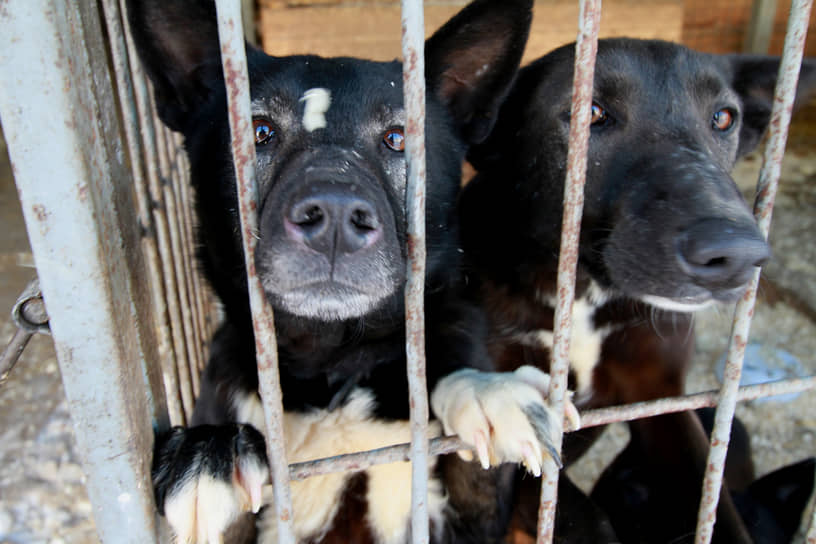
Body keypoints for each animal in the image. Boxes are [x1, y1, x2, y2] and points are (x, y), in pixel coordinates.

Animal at [127, 1, 572, 544]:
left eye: (398, 138)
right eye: (258, 132)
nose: (335, 217)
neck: (333, 361)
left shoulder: (470, 522)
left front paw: (488, 392)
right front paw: (208, 450)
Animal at [460, 37, 816, 540]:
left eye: (723, 118)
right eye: (591, 112)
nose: (737, 254)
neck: (584, 292)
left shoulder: (661, 397)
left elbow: (713, 504)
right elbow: (577, 512)